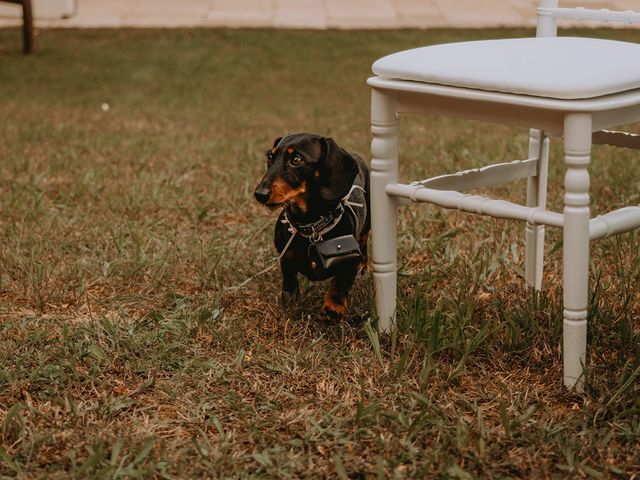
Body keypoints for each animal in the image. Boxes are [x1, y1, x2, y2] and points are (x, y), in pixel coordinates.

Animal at [251, 132, 370, 318]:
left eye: (297, 159)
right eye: (270, 157)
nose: (259, 194)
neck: (310, 226)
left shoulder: (350, 259)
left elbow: (340, 283)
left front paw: (333, 308)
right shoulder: (286, 259)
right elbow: (289, 283)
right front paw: (290, 304)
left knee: (364, 243)